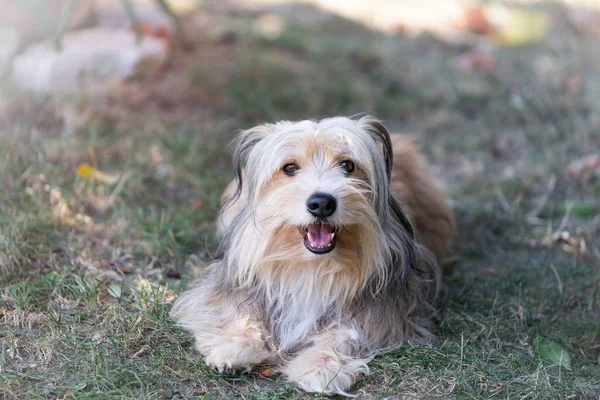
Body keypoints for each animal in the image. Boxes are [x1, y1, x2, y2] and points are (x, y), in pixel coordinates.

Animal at [171, 115, 452, 394]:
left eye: (348, 165)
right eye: (289, 168)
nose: (322, 203)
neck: (311, 266)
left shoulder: (385, 312)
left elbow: (347, 332)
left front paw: (320, 365)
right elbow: (238, 312)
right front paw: (235, 346)